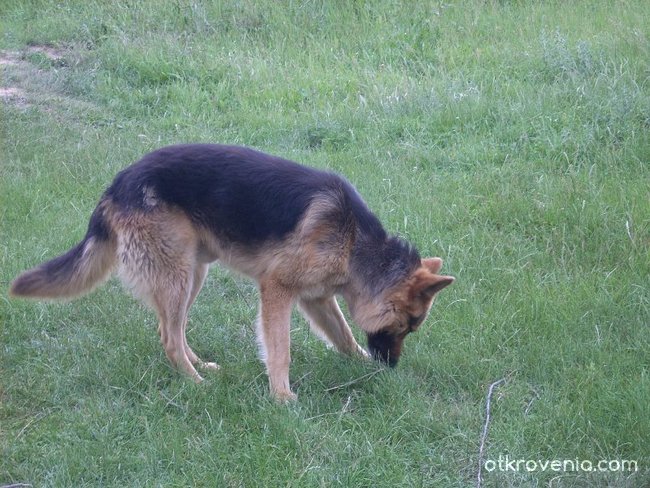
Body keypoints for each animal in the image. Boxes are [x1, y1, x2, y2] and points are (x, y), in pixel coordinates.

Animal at [11, 144, 456, 400]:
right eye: (407, 326)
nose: (390, 369)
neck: (353, 241)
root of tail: (117, 185)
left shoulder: (317, 299)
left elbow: (344, 337)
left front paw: (361, 365)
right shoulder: (277, 290)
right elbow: (280, 350)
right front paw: (281, 397)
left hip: (192, 275)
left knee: (170, 329)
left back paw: (199, 365)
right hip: (178, 278)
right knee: (169, 337)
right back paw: (196, 385)